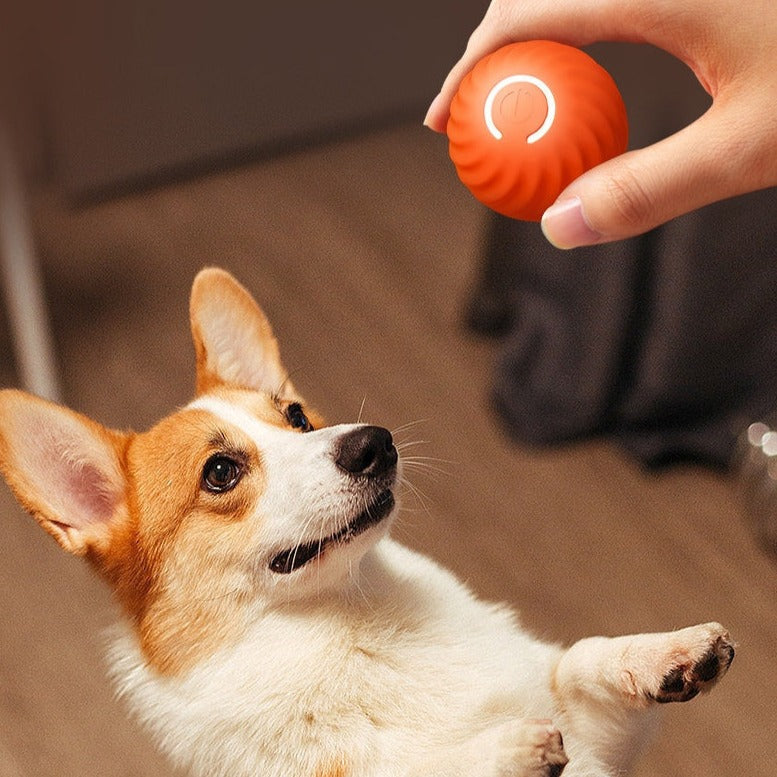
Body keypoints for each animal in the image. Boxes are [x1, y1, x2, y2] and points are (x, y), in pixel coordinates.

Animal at [0, 268, 732, 776]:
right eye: (221, 473)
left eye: (296, 415)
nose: (375, 442)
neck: (356, 623)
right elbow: (421, 770)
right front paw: (500, 749)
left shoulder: (595, 733)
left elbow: (580, 659)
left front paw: (673, 652)